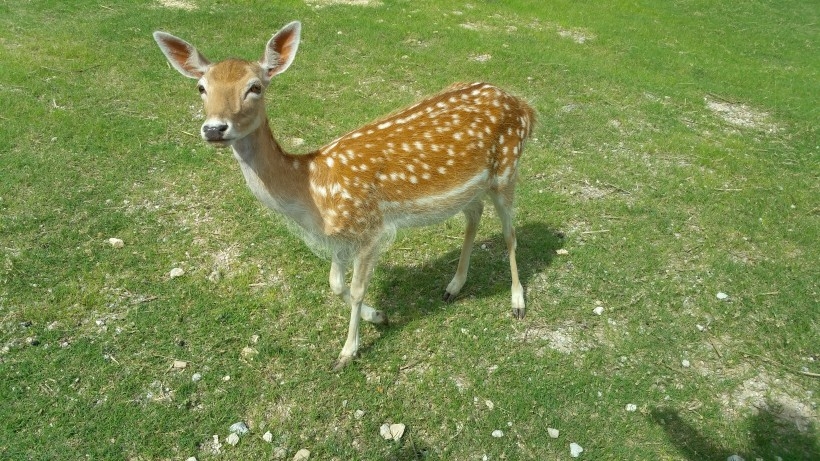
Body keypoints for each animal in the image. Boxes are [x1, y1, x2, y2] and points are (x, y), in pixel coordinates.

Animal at [154, 21, 540, 370]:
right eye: (201, 87)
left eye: (255, 87)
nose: (214, 128)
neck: (312, 191)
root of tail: (525, 106)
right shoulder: (339, 235)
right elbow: (335, 284)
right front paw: (379, 316)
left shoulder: (370, 227)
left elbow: (355, 290)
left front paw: (347, 352)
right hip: (471, 189)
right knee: (474, 217)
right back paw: (454, 286)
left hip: (507, 170)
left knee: (510, 232)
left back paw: (517, 302)